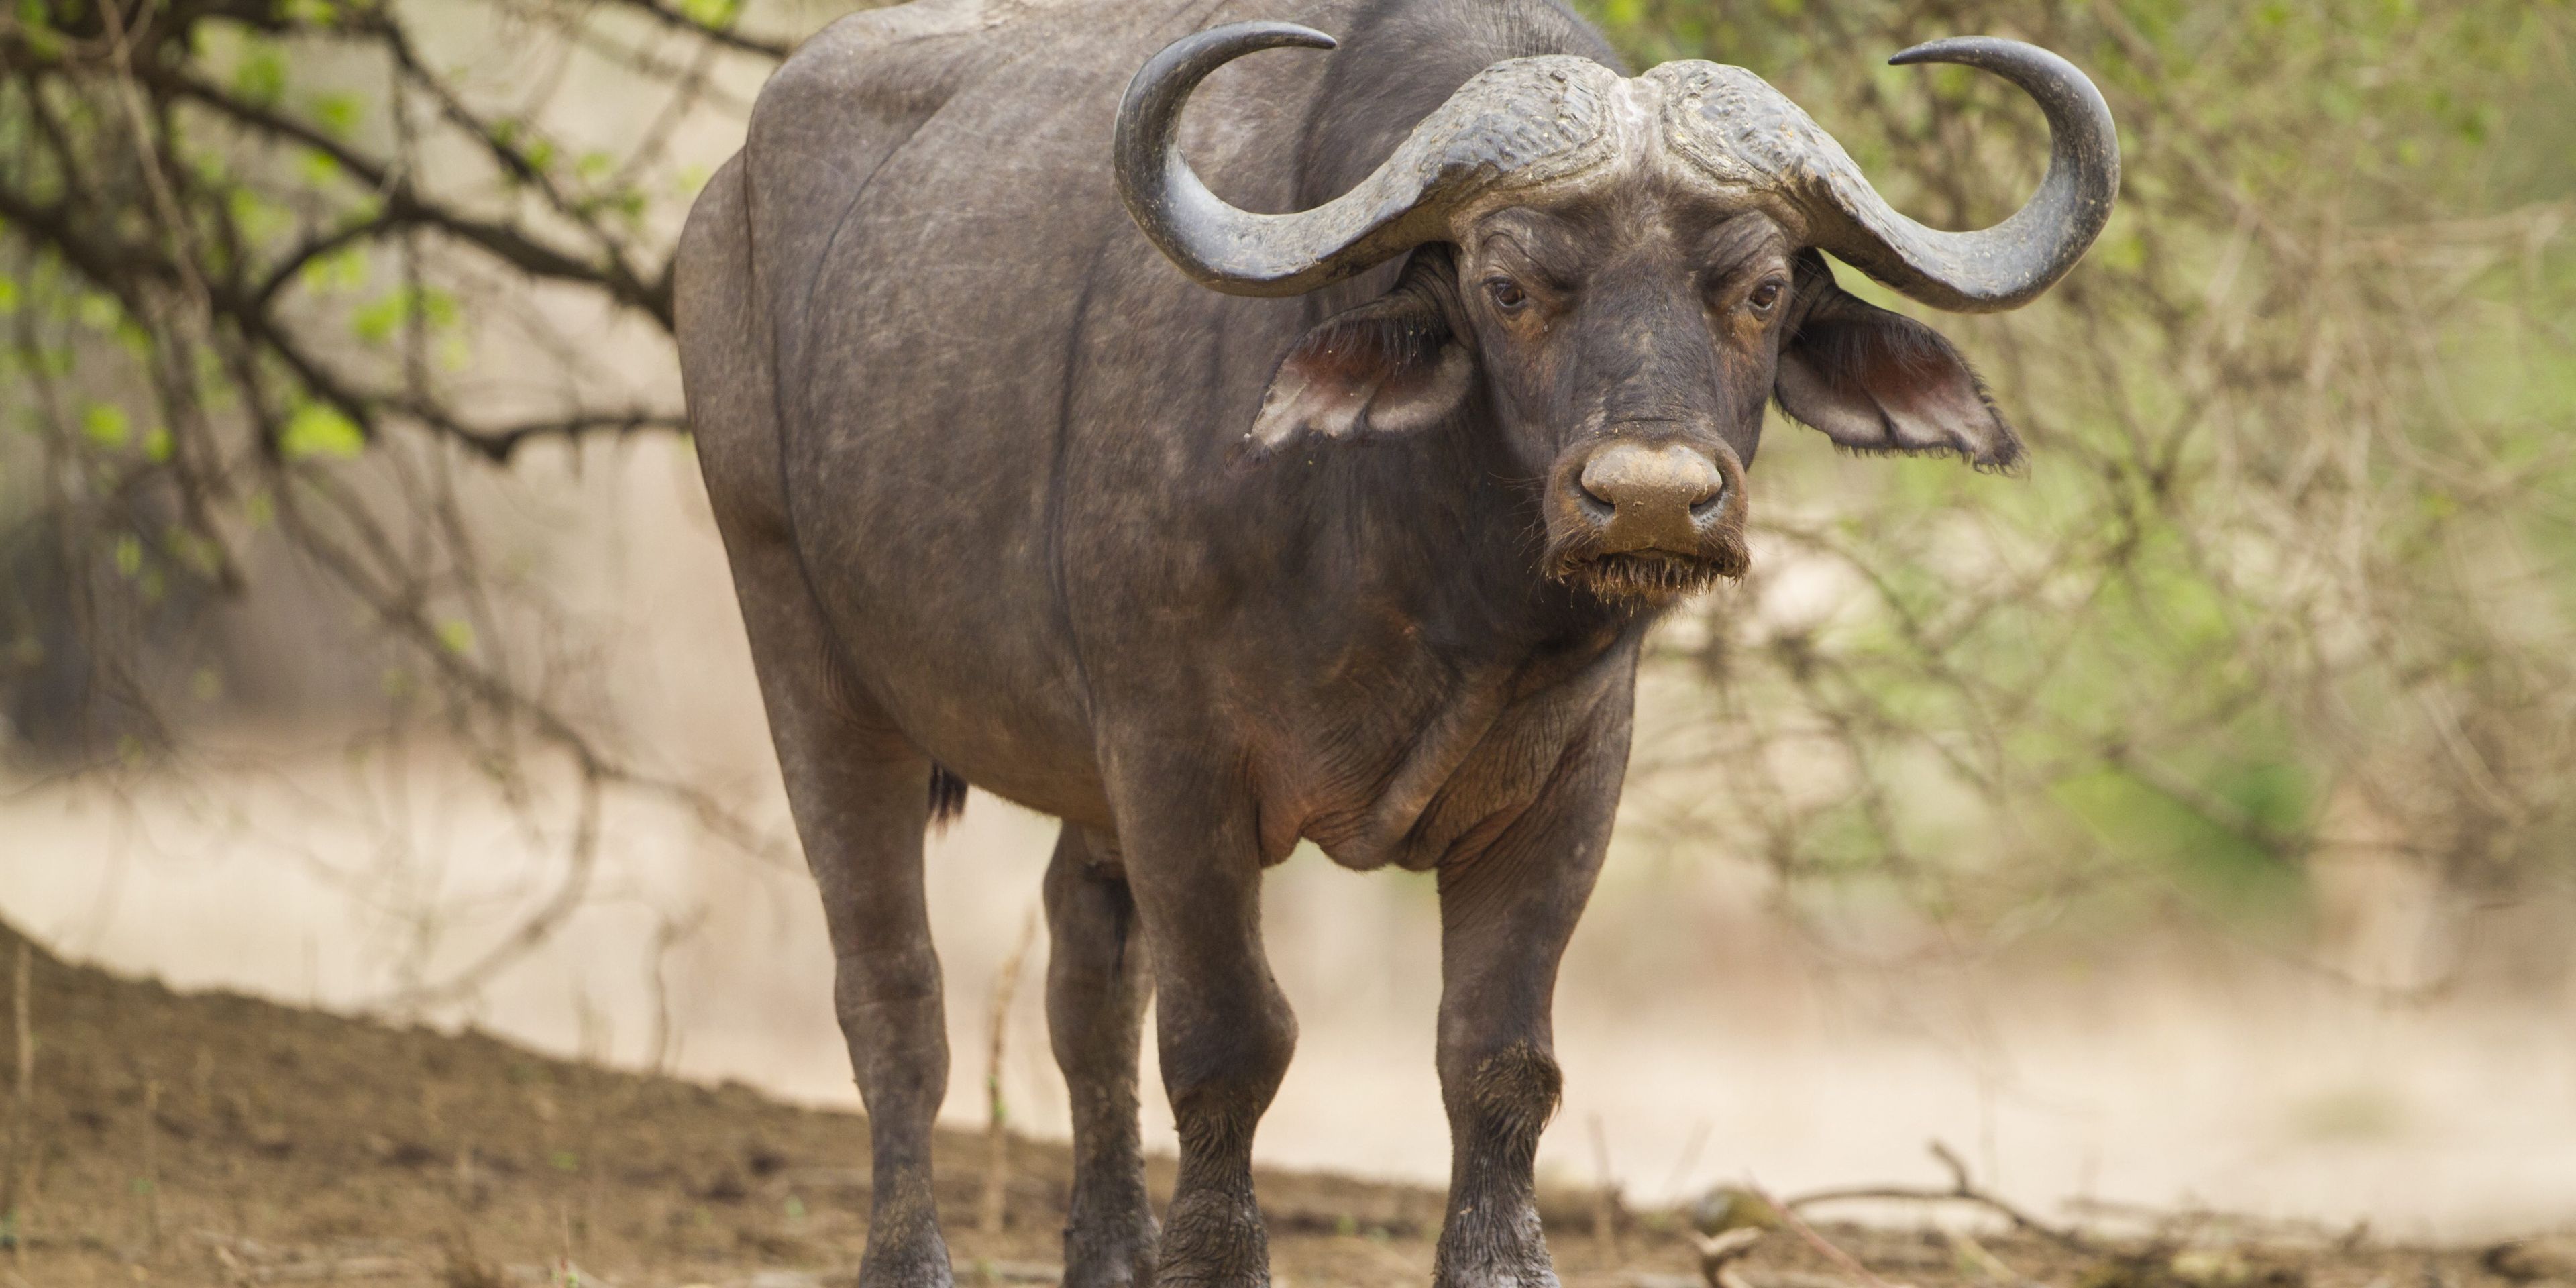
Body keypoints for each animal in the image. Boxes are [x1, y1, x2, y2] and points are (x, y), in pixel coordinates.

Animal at [672, 1, 2116, 1285]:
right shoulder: (1175, 760)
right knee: (894, 994)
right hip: (799, 644)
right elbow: (1228, 1038)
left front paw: (1500, 1262)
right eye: (1509, 285)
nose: (1652, 497)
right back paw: (908, 1255)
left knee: (1086, 983)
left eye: (1761, 289)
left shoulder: (1573, 780)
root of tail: (724, 201)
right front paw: (1217, 1264)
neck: (1430, 577)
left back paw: (1111, 1253)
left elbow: (1498, 1053)